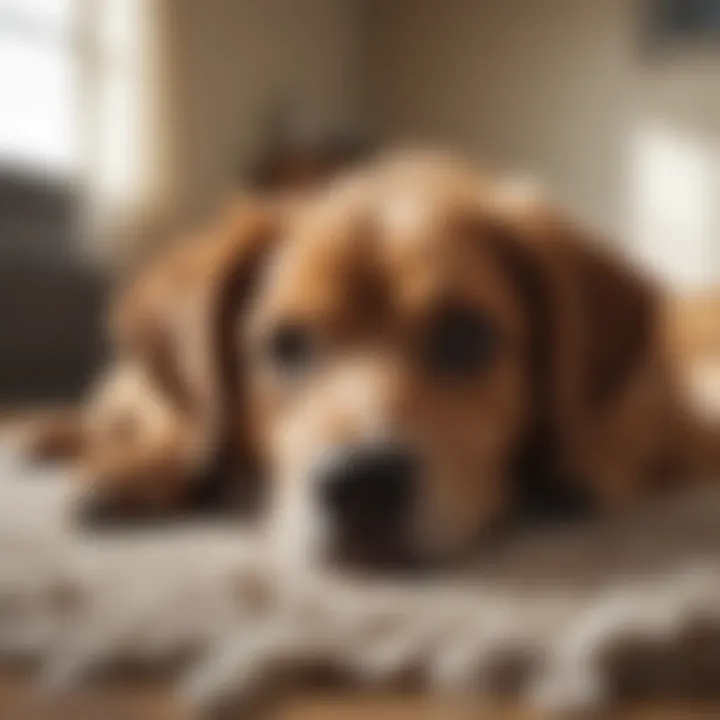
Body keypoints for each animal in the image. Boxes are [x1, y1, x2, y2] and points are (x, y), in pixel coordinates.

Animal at [12, 152, 720, 568]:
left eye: (466, 336)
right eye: (286, 345)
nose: (362, 485)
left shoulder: (681, 429)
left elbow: (615, 446)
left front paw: (576, 468)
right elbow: (189, 434)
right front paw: (148, 468)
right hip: (133, 386)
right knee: (129, 418)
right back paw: (55, 438)